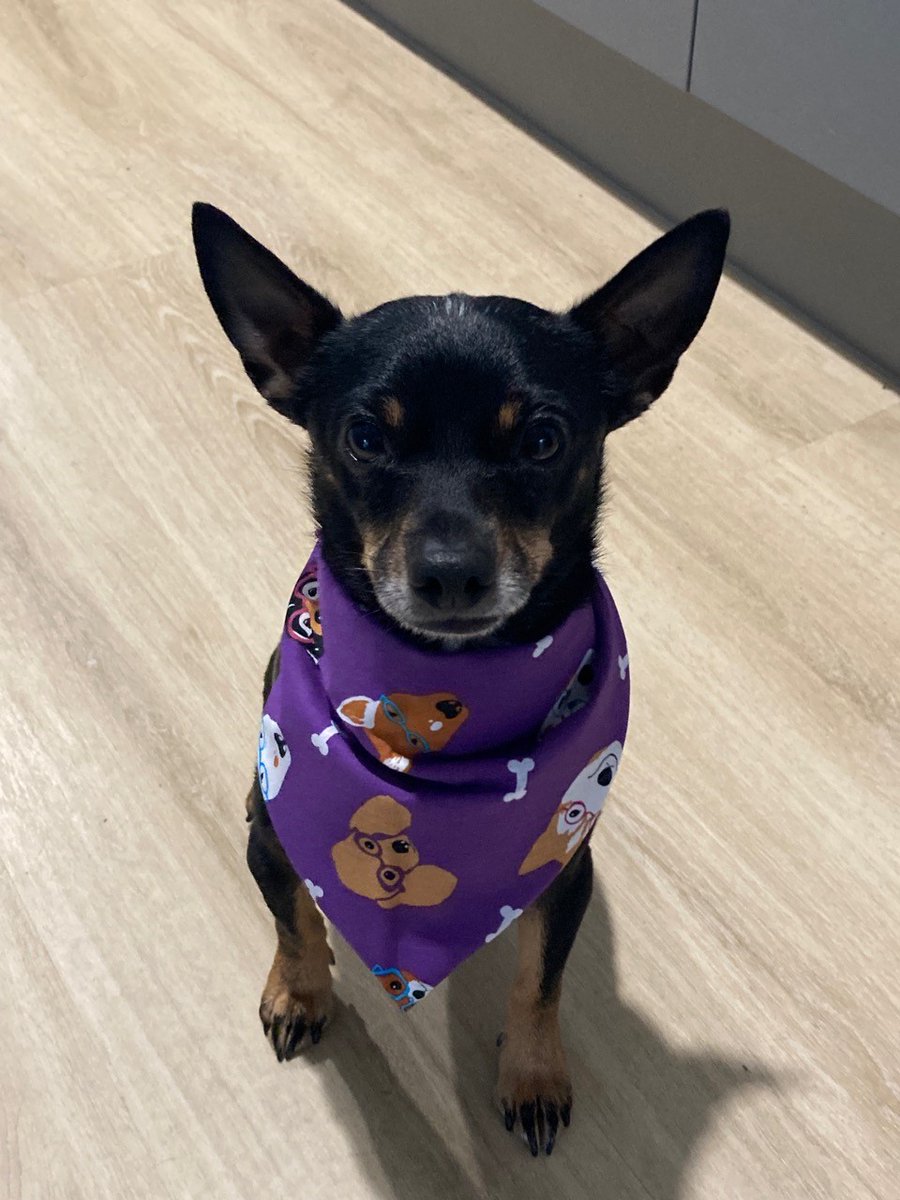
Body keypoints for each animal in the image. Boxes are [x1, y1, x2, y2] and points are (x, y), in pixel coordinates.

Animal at [192, 201, 734, 1156]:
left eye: (545, 440)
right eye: (364, 439)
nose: (451, 574)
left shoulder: (564, 874)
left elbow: (540, 981)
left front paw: (533, 1073)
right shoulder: (276, 832)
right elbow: (294, 915)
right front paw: (300, 988)